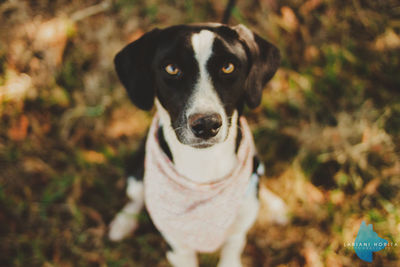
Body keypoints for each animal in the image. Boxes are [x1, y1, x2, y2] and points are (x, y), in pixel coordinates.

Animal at [108, 23, 286, 267]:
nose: (207, 124)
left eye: (228, 67)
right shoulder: (178, 248)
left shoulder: (236, 237)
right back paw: (123, 223)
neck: (204, 166)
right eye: (171, 68)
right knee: (136, 198)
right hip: (136, 174)